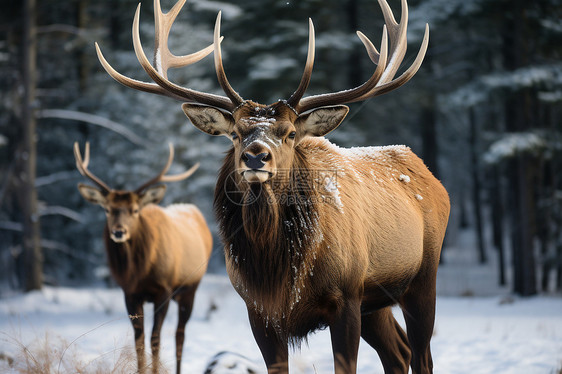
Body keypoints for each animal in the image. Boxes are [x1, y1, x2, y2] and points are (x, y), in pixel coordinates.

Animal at [74, 142, 212, 372]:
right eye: (107, 209)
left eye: (135, 209)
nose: (118, 231)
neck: (139, 271)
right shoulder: (130, 294)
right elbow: (139, 340)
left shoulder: (163, 291)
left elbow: (155, 339)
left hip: (190, 288)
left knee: (180, 335)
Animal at [95, 1, 446, 372]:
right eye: (235, 133)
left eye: (289, 133)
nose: (256, 156)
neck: (280, 271)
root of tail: (429, 174)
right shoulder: (259, 310)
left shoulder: (347, 294)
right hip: (376, 302)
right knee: (399, 352)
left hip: (422, 279)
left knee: (421, 354)